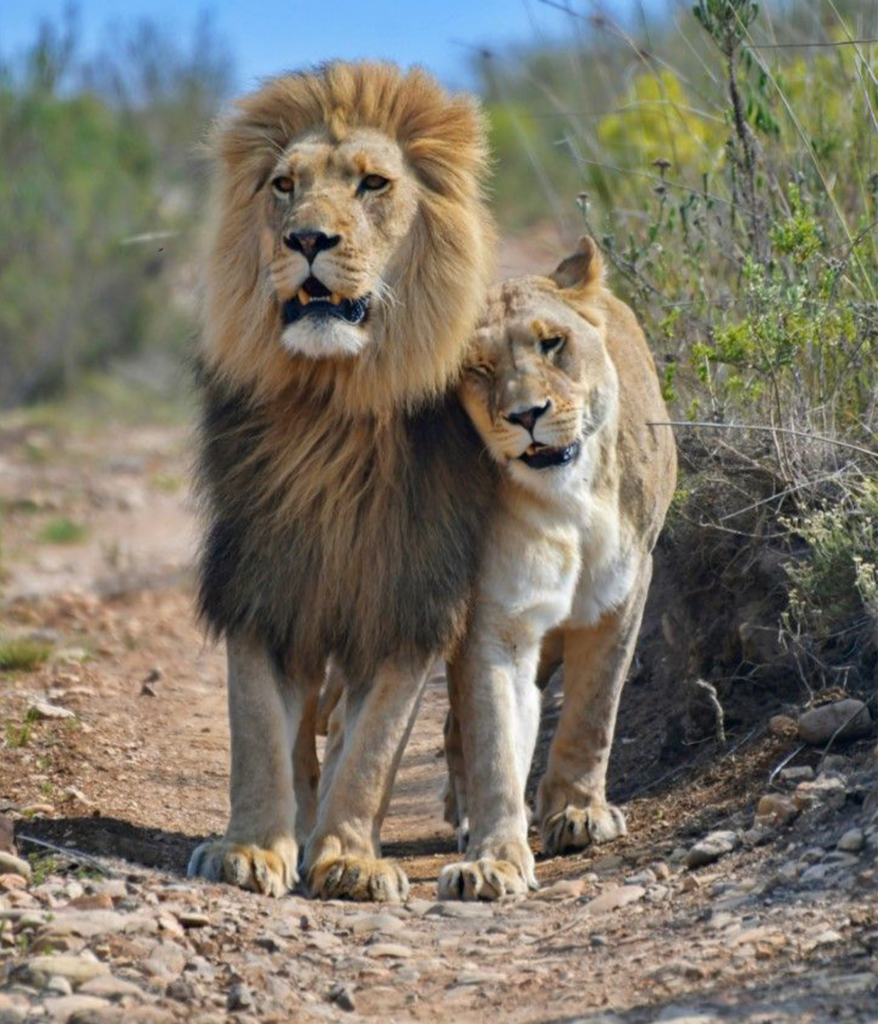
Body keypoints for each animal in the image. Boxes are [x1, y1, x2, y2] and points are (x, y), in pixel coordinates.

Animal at [187, 62, 497, 902]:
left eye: (373, 184)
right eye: (284, 186)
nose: (306, 240)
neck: (333, 412)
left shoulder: (410, 596)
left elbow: (374, 749)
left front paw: (350, 859)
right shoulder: (263, 579)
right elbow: (260, 732)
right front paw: (252, 848)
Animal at [438, 238, 677, 899]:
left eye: (552, 344)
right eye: (479, 368)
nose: (527, 415)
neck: (569, 499)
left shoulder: (622, 594)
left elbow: (593, 713)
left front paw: (578, 813)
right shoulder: (496, 618)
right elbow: (495, 738)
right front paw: (493, 858)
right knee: (453, 727)